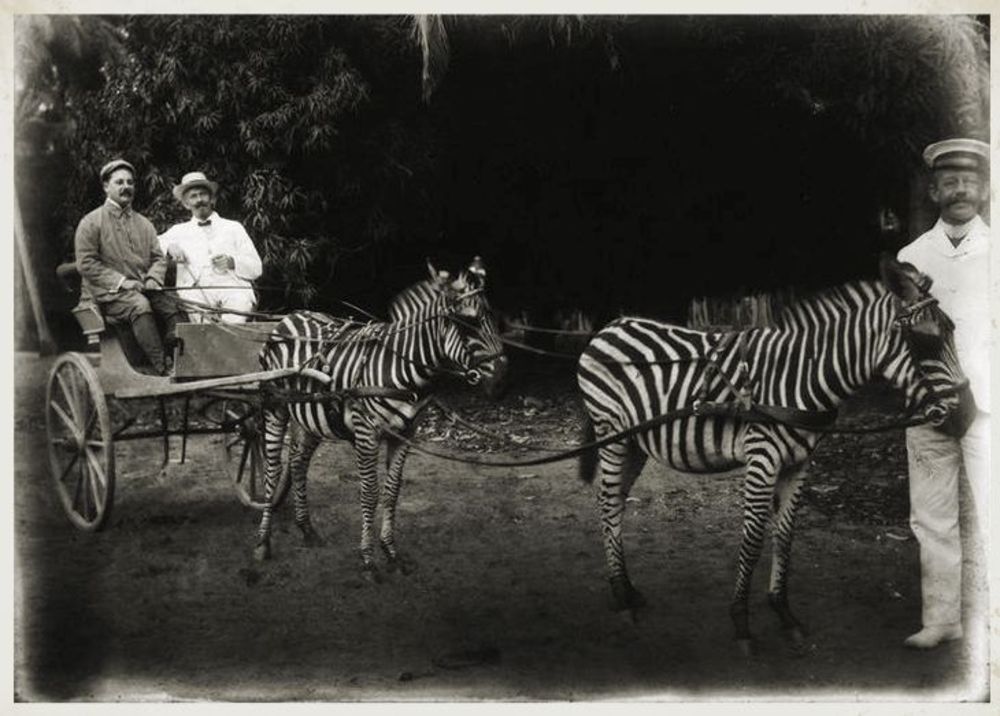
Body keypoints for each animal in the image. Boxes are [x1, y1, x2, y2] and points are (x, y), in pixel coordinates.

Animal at [253, 258, 508, 570]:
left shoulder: (405, 434)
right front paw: (368, 559)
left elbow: (392, 491)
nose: (502, 382)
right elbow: (370, 492)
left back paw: (307, 529)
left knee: (298, 463)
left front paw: (390, 551)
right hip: (274, 407)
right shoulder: (367, 432)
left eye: (494, 319)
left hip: (311, 415)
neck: (404, 369)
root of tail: (289, 316)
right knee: (273, 470)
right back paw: (263, 542)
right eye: (467, 322)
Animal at [576, 255, 973, 651]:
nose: (969, 416)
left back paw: (628, 590)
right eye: (925, 340)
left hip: (634, 442)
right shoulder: (762, 458)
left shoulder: (798, 463)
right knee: (608, 502)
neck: (802, 378)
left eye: (953, 330)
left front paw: (783, 612)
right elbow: (752, 540)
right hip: (610, 432)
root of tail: (610, 326)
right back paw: (622, 599)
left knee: (615, 504)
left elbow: (785, 537)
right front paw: (741, 622)